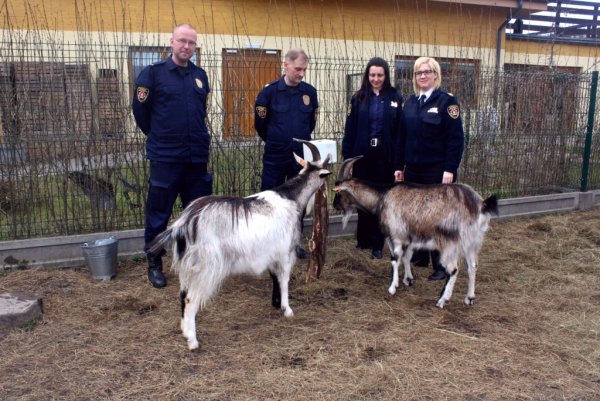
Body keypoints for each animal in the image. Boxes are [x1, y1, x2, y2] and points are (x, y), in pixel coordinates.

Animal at [148, 141, 330, 350]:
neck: (290, 197)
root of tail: (183, 224)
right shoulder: (285, 254)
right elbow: (284, 280)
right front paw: (287, 309)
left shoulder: (271, 254)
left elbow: (274, 278)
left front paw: (276, 303)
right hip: (207, 267)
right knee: (190, 298)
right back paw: (193, 342)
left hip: (188, 268)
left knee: (182, 294)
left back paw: (184, 329)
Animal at [332, 155, 496, 308]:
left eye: (338, 193)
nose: (334, 205)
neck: (381, 197)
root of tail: (479, 205)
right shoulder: (408, 238)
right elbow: (406, 257)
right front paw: (408, 280)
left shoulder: (396, 235)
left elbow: (395, 259)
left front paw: (392, 287)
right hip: (472, 241)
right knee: (472, 266)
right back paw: (469, 298)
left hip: (449, 243)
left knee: (453, 269)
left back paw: (442, 300)